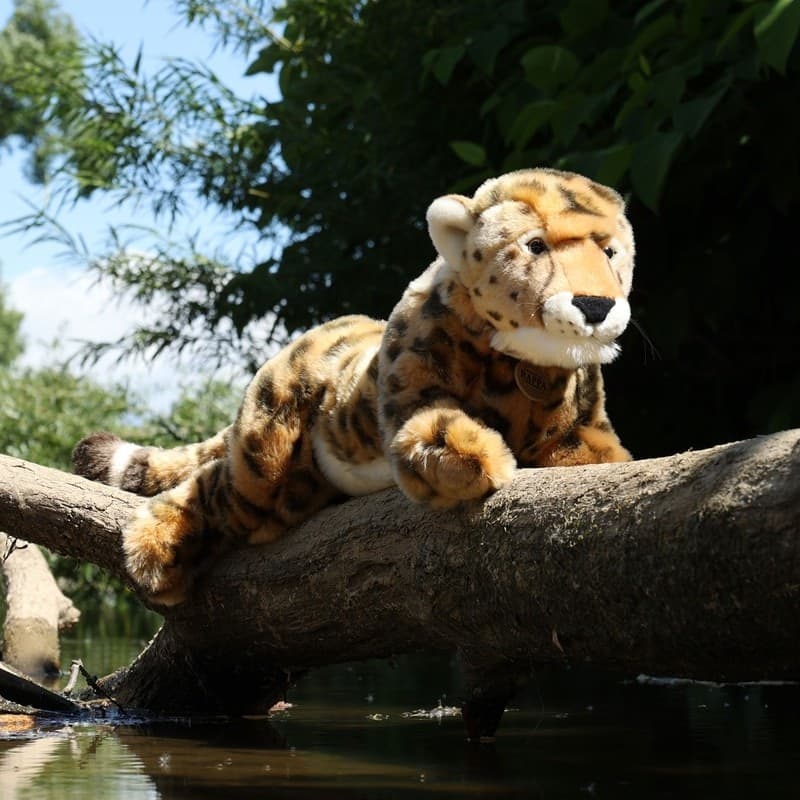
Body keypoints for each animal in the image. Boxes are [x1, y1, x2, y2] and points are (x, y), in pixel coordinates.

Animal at [72, 167, 635, 606]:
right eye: (535, 245)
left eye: (610, 252)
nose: (596, 306)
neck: (528, 362)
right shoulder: (414, 386)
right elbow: (433, 431)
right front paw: (473, 456)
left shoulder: (578, 423)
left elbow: (597, 451)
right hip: (265, 461)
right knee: (216, 488)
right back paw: (156, 552)